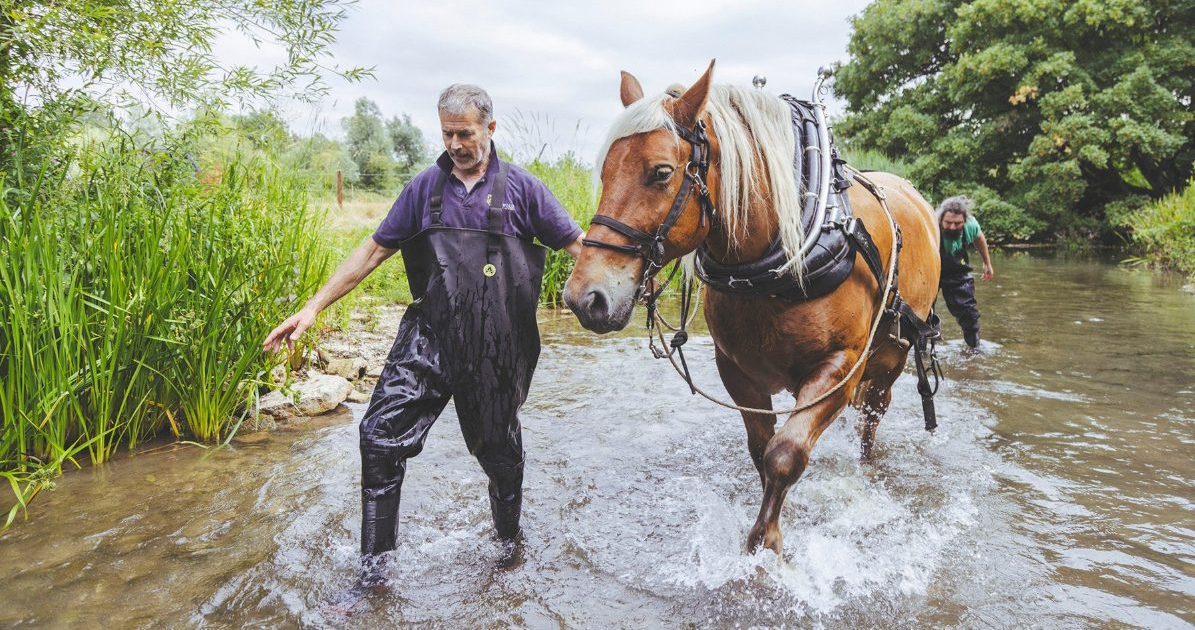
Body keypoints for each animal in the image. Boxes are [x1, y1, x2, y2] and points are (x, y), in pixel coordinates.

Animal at [562, 61, 941, 556]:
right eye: (605, 172)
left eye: (661, 172)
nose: (584, 297)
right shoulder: (737, 370)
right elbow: (763, 451)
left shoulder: (841, 367)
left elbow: (786, 454)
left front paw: (765, 545)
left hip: (891, 358)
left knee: (872, 418)